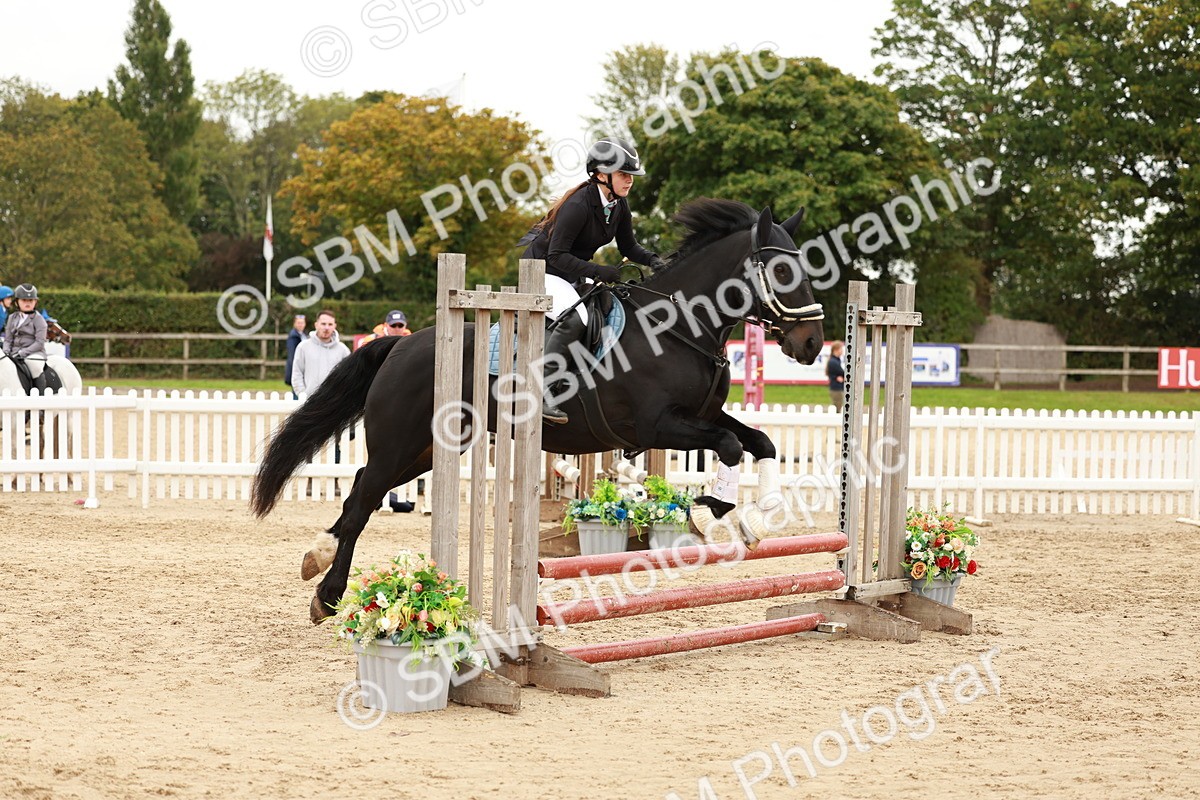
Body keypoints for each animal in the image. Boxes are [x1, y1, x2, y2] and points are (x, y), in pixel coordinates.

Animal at [251, 198, 827, 623]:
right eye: (782, 268)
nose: (812, 344)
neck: (680, 326)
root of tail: (402, 344)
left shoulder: (699, 418)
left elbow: (759, 442)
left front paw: (757, 517)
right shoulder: (658, 425)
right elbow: (729, 446)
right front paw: (718, 514)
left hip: (424, 450)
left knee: (360, 492)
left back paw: (319, 567)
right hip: (401, 443)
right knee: (364, 500)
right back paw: (327, 591)